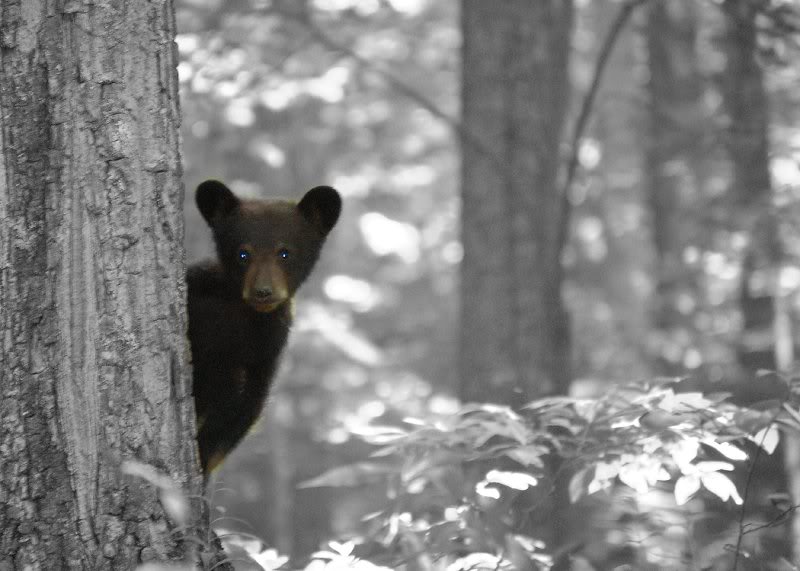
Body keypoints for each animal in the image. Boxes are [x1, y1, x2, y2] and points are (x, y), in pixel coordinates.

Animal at [187, 179, 341, 475]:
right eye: (243, 254)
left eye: (285, 252)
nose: (263, 292)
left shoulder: (266, 349)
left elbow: (243, 410)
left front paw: (202, 459)